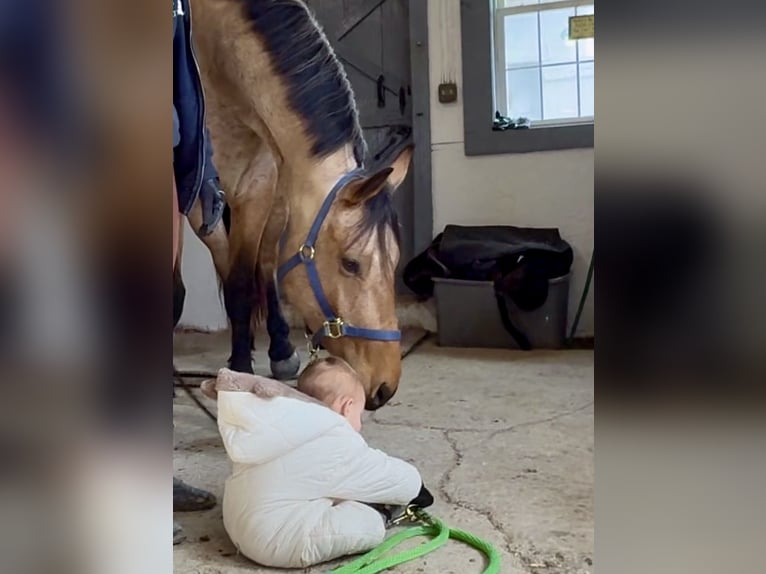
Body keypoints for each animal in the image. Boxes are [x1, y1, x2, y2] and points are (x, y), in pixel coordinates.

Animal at [175, 0, 413, 410]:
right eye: (351, 264)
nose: (386, 387)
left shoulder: (263, 184)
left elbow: (258, 272)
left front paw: (261, 358)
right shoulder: (195, 194)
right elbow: (232, 283)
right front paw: (238, 367)